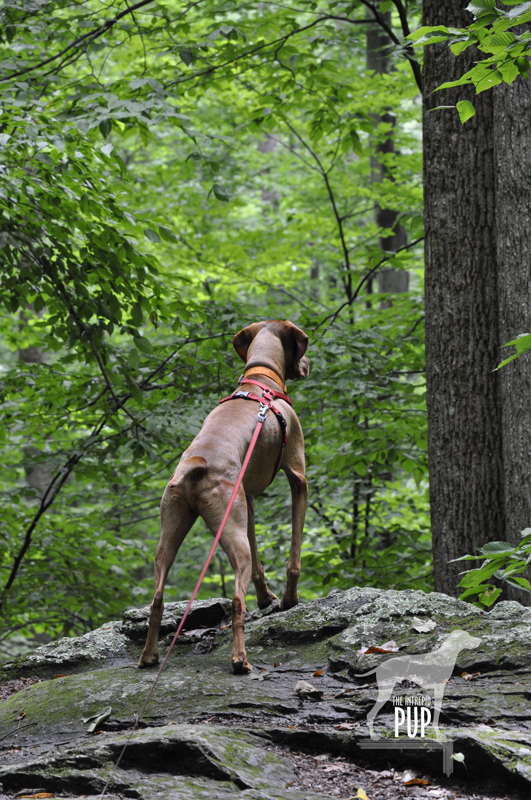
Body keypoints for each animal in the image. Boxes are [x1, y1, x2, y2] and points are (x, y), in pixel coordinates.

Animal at [139, 318, 310, 676]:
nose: (307, 365)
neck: (261, 379)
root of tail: (197, 466)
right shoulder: (298, 477)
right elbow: (294, 556)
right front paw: (288, 600)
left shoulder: (248, 498)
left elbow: (259, 563)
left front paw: (266, 598)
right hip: (231, 534)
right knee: (236, 600)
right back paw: (240, 660)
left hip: (172, 533)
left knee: (158, 597)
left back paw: (148, 657)